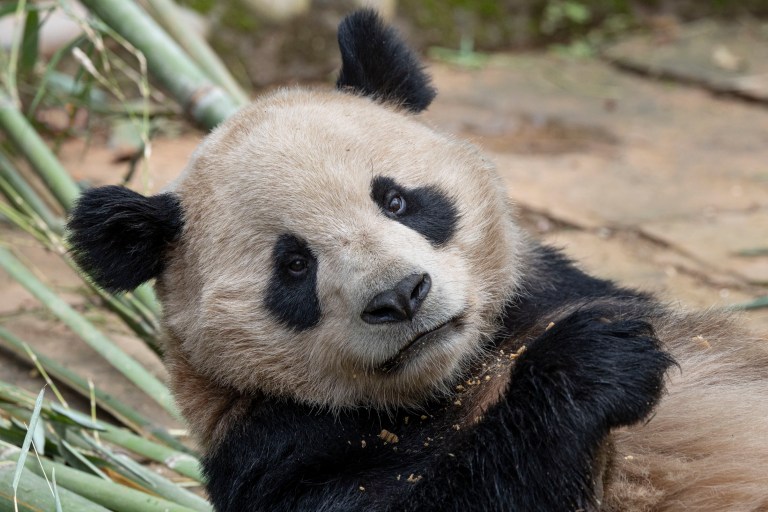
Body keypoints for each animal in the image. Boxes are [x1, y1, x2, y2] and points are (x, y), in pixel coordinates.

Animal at [67, 9, 768, 512]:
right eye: (293, 266)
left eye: (397, 199)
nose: (401, 296)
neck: (452, 379)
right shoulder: (275, 453)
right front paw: (591, 362)